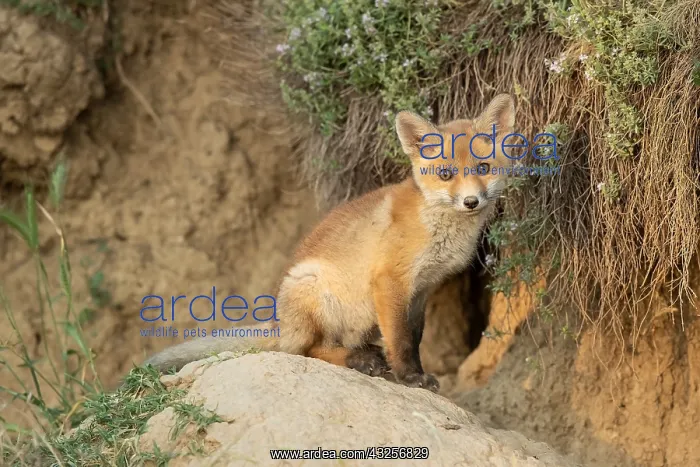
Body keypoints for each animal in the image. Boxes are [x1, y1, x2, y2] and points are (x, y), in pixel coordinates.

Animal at [142, 94, 517, 392]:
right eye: (445, 174)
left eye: (483, 167)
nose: (471, 201)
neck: (436, 225)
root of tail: (278, 321)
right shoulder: (390, 281)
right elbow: (400, 341)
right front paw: (410, 377)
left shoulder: (422, 290)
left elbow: (414, 337)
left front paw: (415, 371)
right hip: (313, 289)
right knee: (305, 350)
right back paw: (358, 359)